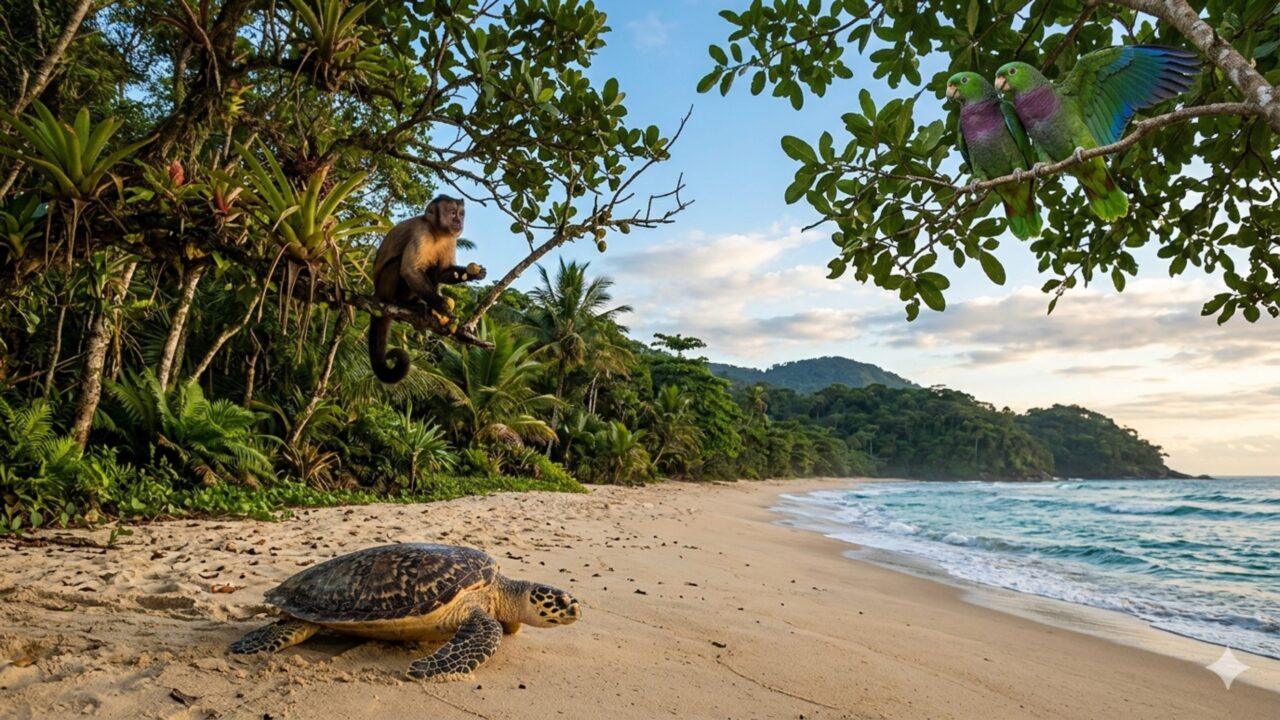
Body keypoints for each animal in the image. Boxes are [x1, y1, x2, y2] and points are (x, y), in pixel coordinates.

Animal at [368, 195, 487, 383]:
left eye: (461, 214)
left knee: (432, 269)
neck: (437, 233)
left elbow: (443, 273)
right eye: (452, 213)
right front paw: (441, 305)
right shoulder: (421, 231)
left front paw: (473, 274)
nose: (459, 221)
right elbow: (410, 270)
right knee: (399, 264)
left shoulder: (451, 239)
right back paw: (402, 303)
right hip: (383, 289)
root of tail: (376, 293)